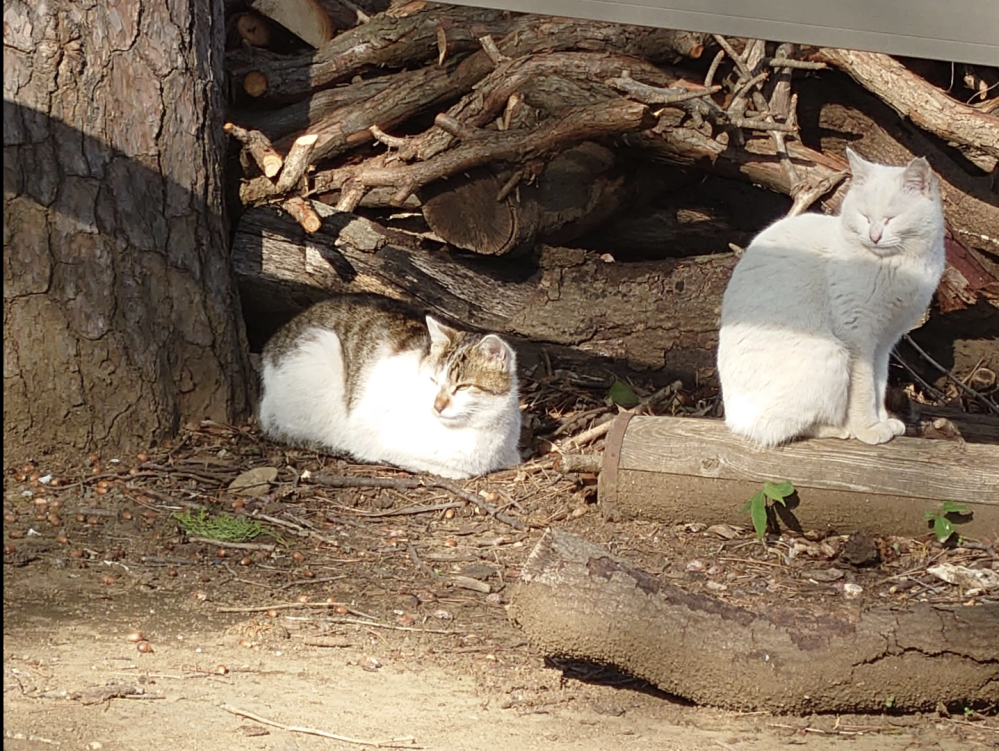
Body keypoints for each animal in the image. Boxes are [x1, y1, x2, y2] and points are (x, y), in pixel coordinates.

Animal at [258, 294, 524, 476]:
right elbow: (453, 470)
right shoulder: (376, 438)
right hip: (320, 351)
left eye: (462, 387)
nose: (437, 405)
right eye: (433, 380)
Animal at [720, 151, 944, 446]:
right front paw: (869, 429)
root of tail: (731, 418)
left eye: (890, 219)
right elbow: (864, 389)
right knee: (778, 429)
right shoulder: (858, 335)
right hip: (832, 353)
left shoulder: (884, 342)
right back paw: (841, 429)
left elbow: (879, 383)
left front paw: (883, 420)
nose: (874, 236)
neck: (897, 264)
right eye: (864, 216)